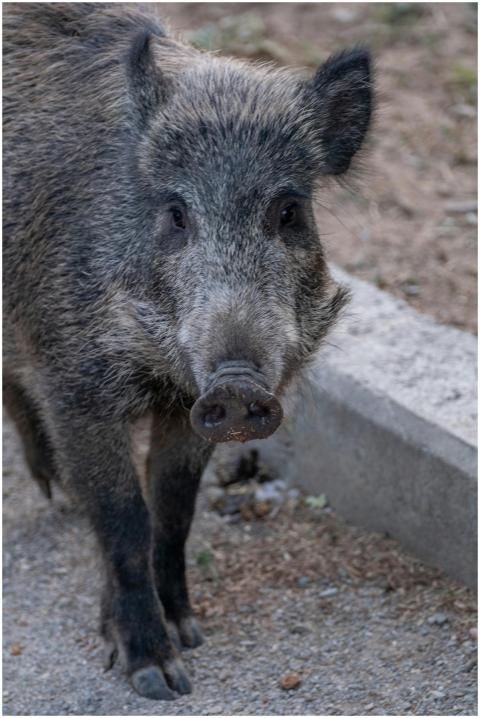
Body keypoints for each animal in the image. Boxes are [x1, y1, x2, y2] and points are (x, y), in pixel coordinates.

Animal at [3, 2, 372, 700]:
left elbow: (172, 509)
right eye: (175, 213)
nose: (236, 383)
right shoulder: (76, 387)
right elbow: (124, 519)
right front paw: (157, 676)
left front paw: (189, 633)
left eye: (290, 211)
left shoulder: (188, 408)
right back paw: (52, 491)